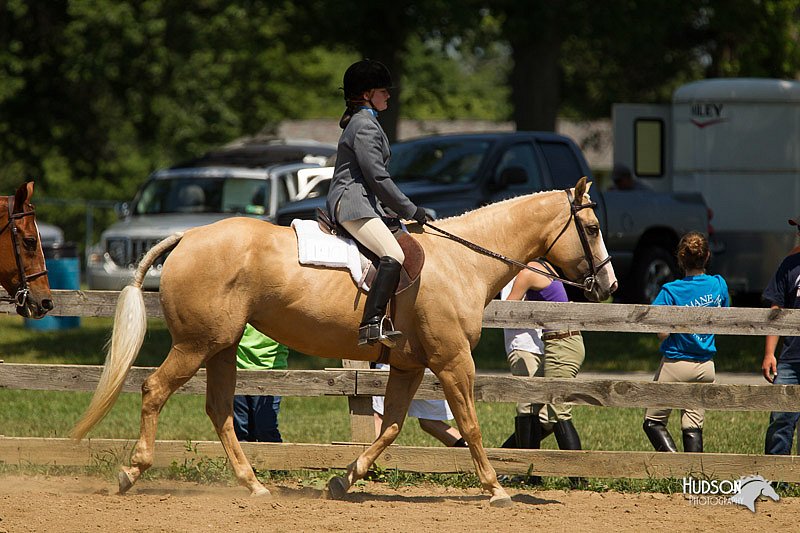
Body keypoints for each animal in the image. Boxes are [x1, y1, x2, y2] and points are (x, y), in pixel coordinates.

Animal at [72, 177, 616, 504]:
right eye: (591, 227)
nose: (609, 286)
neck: (463, 261)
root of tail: (187, 237)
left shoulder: (410, 365)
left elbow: (391, 428)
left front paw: (342, 480)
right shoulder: (452, 360)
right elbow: (471, 425)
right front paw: (496, 489)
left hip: (221, 347)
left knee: (220, 410)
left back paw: (254, 485)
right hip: (196, 345)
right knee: (154, 391)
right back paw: (131, 472)